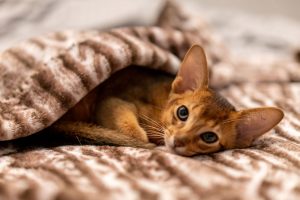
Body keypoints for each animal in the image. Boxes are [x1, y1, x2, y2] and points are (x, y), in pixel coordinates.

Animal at [52, 44, 284, 155]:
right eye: (183, 112)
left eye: (210, 137)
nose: (178, 141)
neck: (160, 107)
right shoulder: (111, 101)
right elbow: (135, 134)